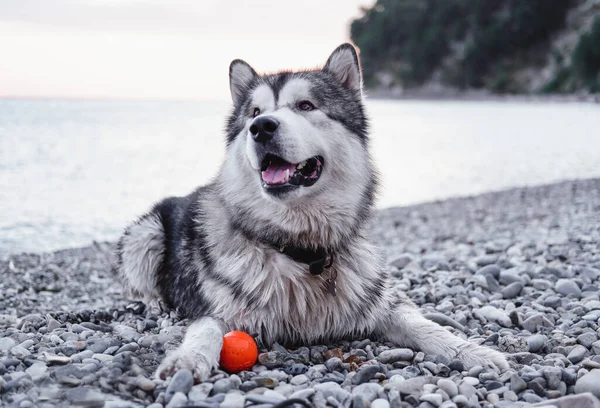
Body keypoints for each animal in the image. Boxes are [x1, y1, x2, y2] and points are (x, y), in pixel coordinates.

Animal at [115, 43, 508, 380]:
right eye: (254, 113)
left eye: (305, 106)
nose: (261, 127)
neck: (300, 249)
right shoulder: (219, 311)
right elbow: (206, 330)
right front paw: (187, 359)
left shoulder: (380, 302)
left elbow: (424, 324)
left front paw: (473, 351)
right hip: (145, 235)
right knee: (139, 285)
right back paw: (156, 305)